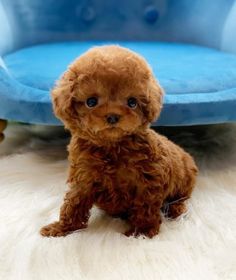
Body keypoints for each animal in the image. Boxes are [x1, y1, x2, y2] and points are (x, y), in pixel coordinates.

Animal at [40, 46, 197, 238]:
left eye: (132, 102)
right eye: (91, 101)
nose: (113, 116)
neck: (112, 147)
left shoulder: (147, 180)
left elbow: (145, 207)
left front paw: (141, 232)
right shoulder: (83, 177)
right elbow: (73, 204)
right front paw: (61, 228)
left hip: (183, 181)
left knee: (180, 199)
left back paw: (176, 210)